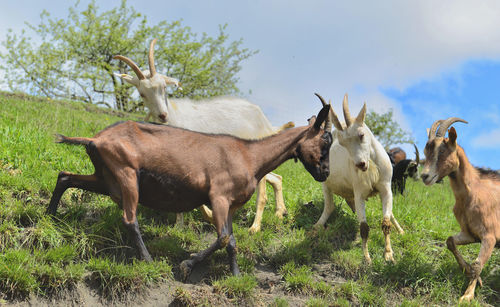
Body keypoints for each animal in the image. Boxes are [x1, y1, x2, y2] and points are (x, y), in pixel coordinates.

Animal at [46, 100, 332, 280]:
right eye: (325, 141)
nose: (325, 173)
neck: (250, 156)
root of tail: (95, 139)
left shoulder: (231, 205)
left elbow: (232, 242)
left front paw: (236, 276)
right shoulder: (218, 196)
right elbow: (223, 238)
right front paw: (186, 265)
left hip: (105, 178)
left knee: (64, 177)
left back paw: (49, 216)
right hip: (125, 173)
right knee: (129, 219)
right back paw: (147, 260)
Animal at [113, 39, 292, 233]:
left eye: (163, 87)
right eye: (142, 94)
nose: (163, 115)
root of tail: (263, 119)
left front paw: (207, 217)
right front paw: (181, 224)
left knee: (263, 191)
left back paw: (255, 228)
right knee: (276, 178)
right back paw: (280, 212)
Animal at [314, 94, 404, 264]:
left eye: (361, 135)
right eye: (343, 143)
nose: (360, 164)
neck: (372, 168)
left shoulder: (386, 189)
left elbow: (386, 222)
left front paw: (389, 254)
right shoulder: (359, 193)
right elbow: (363, 227)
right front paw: (367, 257)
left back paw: (401, 231)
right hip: (325, 184)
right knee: (329, 206)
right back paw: (316, 226)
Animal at [422, 118, 500, 304]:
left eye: (443, 150)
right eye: (425, 150)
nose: (424, 176)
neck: (472, 194)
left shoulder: (490, 236)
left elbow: (477, 265)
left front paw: (467, 296)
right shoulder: (470, 233)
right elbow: (450, 241)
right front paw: (470, 274)